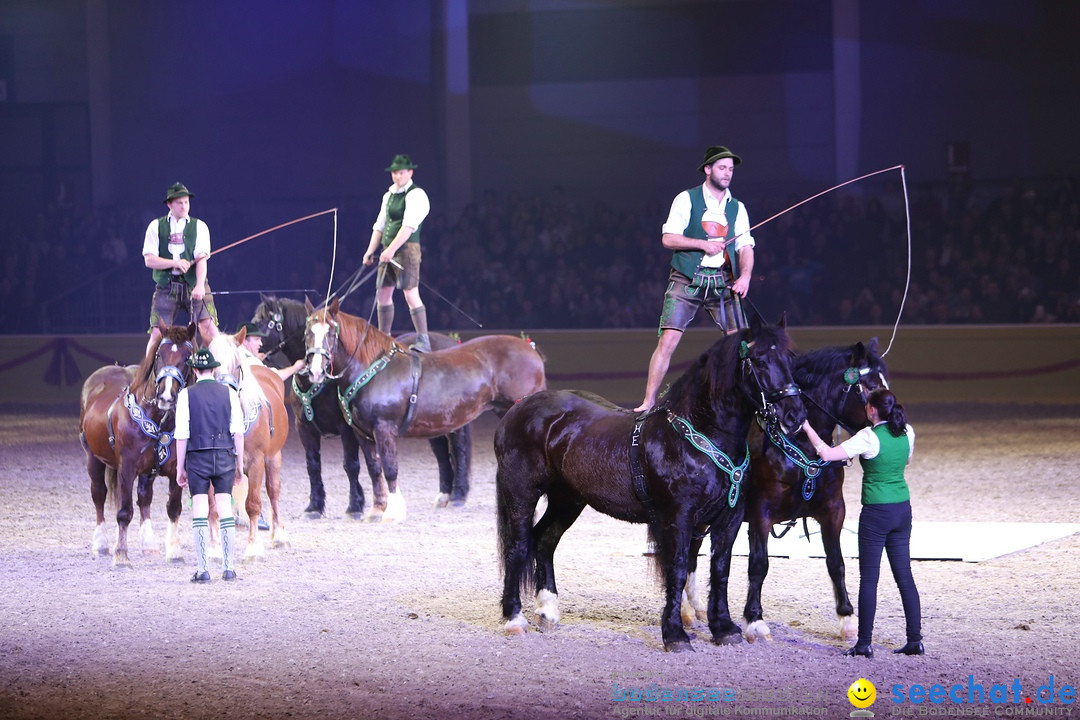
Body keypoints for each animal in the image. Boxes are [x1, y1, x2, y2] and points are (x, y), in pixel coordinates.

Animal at [79, 321, 196, 569]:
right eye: (159, 355)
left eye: (187, 357)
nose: (166, 397)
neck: (158, 419)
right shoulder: (127, 468)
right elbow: (124, 511)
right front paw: (121, 555)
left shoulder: (176, 470)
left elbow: (173, 508)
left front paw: (174, 552)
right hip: (92, 457)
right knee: (99, 494)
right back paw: (101, 543)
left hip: (146, 471)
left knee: (144, 497)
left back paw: (148, 543)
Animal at [254, 293, 475, 518]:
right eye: (307, 333)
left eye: (265, 322)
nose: (250, 344)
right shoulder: (304, 428)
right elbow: (313, 466)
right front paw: (315, 506)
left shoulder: (347, 429)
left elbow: (351, 465)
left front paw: (355, 505)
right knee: (441, 453)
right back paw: (444, 494)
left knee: (458, 449)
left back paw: (458, 494)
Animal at [302, 297, 544, 524]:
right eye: (307, 333)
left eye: (330, 332)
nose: (314, 371)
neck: (372, 368)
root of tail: (531, 350)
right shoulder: (362, 433)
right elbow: (374, 469)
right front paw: (376, 509)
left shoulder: (384, 428)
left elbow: (390, 467)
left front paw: (393, 511)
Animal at [494, 317, 807, 651]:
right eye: (759, 360)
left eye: (791, 359)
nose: (795, 415)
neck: (697, 435)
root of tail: (517, 409)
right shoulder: (678, 518)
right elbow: (677, 570)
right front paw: (675, 635)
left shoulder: (729, 518)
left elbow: (720, 569)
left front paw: (724, 628)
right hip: (521, 494)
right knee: (518, 546)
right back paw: (515, 619)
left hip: (567, 500)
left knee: (544, 540)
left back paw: (547, 611)